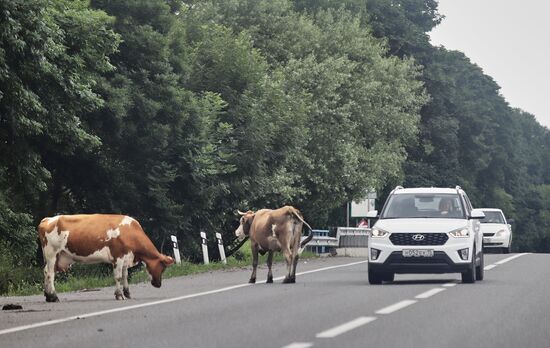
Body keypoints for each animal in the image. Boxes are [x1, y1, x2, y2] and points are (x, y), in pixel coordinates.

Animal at [38, 213, 175, 300]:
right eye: (162, 267)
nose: (158, 284)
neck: (130, 232)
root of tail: (48, 219)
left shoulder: (126, 258)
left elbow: (125, 275)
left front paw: (127, 293)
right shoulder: (118, 257)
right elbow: (118, 277)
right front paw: (119, 295)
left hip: (56, 256)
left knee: (45, 272)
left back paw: (48, 296)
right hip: (52, 253)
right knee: (50, 274)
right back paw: (54, 296)